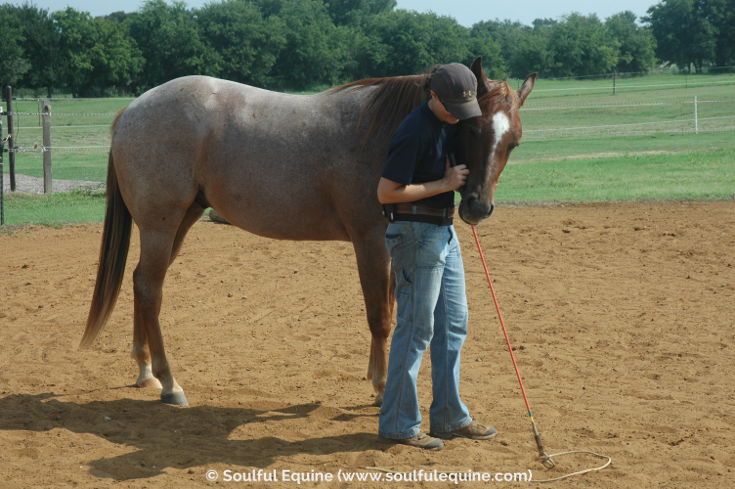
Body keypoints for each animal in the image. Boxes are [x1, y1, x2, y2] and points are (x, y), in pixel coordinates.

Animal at [82, 57, 536, 406]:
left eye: (513, 141)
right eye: (473, 129)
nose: (478, 207)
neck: (386, 133)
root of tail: (132, 110)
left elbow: (390, 309)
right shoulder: (370, 241)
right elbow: (380, 316)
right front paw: (380, 387)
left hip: (180, 221)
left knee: (141, 281)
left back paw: (145, 371)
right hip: (161, 225)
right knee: (150, 289)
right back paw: (170, 383)